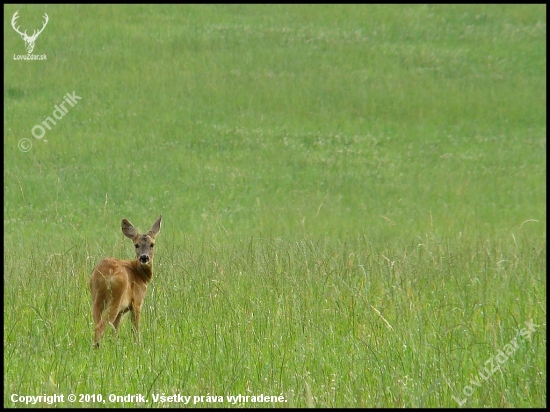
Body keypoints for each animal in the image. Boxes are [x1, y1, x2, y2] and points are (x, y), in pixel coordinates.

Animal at [90, 216, 162, 348]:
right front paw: (138, 345)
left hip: (96, 299)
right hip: (116, 299)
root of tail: (108, 272)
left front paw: (115, 345)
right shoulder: (137, 302)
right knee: (100, 327)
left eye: (152, 244)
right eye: (136, 245)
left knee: (97, 324)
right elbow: (135, 328)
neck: (140, 276)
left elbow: (115, 330)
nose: (144, 257)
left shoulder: (121, 312)